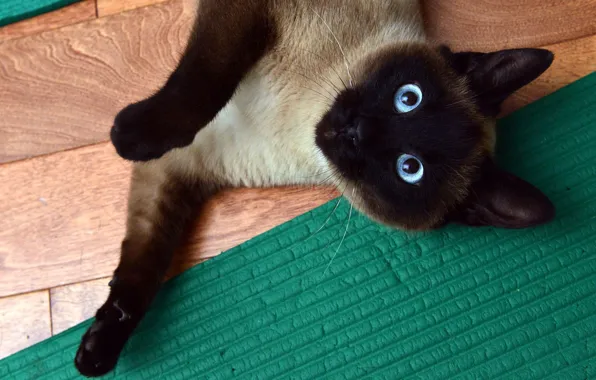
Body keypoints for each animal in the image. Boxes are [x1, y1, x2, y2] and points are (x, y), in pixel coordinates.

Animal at [73, 0, 556, 374]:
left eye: (409, 168)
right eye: (409, 97)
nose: (357, 131)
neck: (298, 122)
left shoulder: (183, 166)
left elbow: (147, 261)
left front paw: (97, 350)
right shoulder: (242, 19)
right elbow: (201, 85)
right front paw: (128, 135)